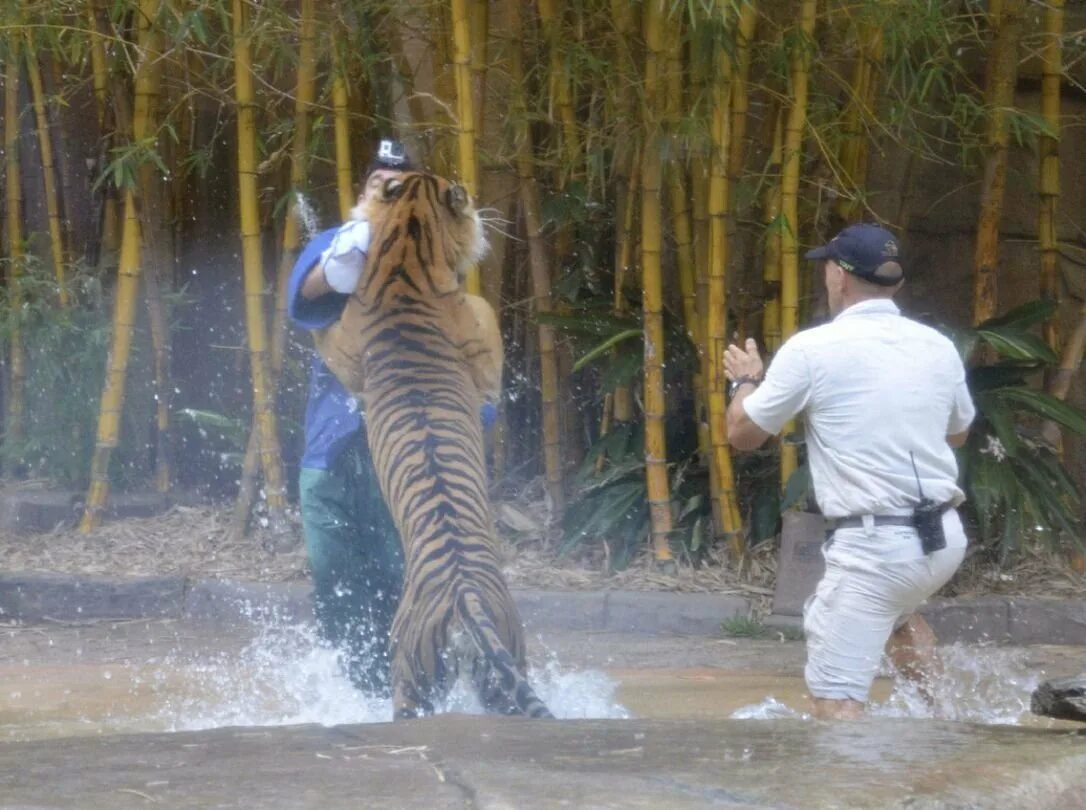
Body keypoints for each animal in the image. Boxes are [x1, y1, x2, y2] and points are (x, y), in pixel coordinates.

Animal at [314, 170, 551, 720]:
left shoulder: (345, 349)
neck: (407, 248)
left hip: (423, 680)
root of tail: (466, 599)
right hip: (485, 679)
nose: (481, 210)